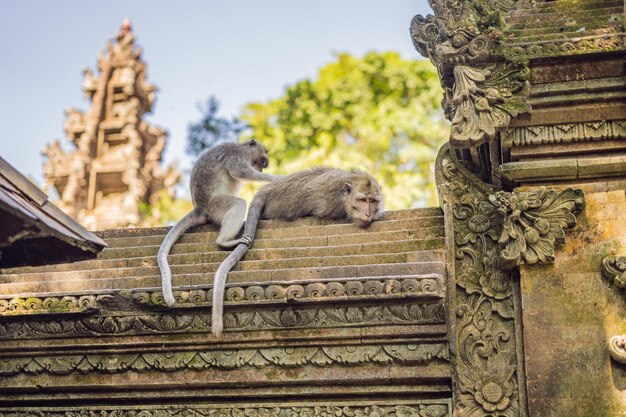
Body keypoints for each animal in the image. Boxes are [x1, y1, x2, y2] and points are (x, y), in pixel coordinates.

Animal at [157, 140, 274, 306]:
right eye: (262, 161)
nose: (260, 168)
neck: (242, 148)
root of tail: (200, 208)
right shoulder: (236, 155)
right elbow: (240, 172)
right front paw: (274, 178)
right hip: (216, 206)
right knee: (238, 204)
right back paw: (224, 241)